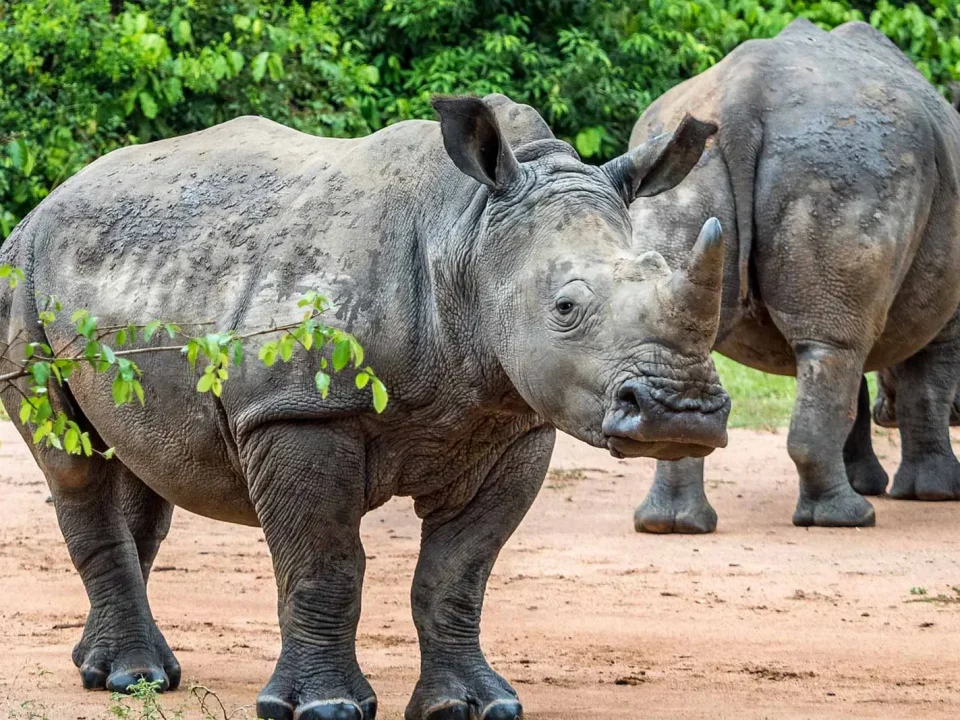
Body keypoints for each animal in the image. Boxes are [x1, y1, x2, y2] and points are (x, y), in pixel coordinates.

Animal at [0, 94, 730, 720]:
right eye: (566, 307)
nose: (681, 413)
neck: (468, 231)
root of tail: (48, 201)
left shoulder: (513, 426)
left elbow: (457, 574)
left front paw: (474, 706)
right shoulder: (299, 412)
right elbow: (326, 564)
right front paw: (324, 708)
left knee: (142, 465)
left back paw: (109, 668)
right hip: (22, 279)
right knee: (72, 463)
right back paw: (132, 677)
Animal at [625, 18, 960, 534]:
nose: (885, 414)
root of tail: (741, 98)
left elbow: (870, 385)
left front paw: (877, 480)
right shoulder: (947, 311)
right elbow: (927, 387)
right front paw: (936, 494)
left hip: (681, 159)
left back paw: (672, 525)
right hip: (850, 161)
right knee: (834, 347)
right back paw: (847, 520)